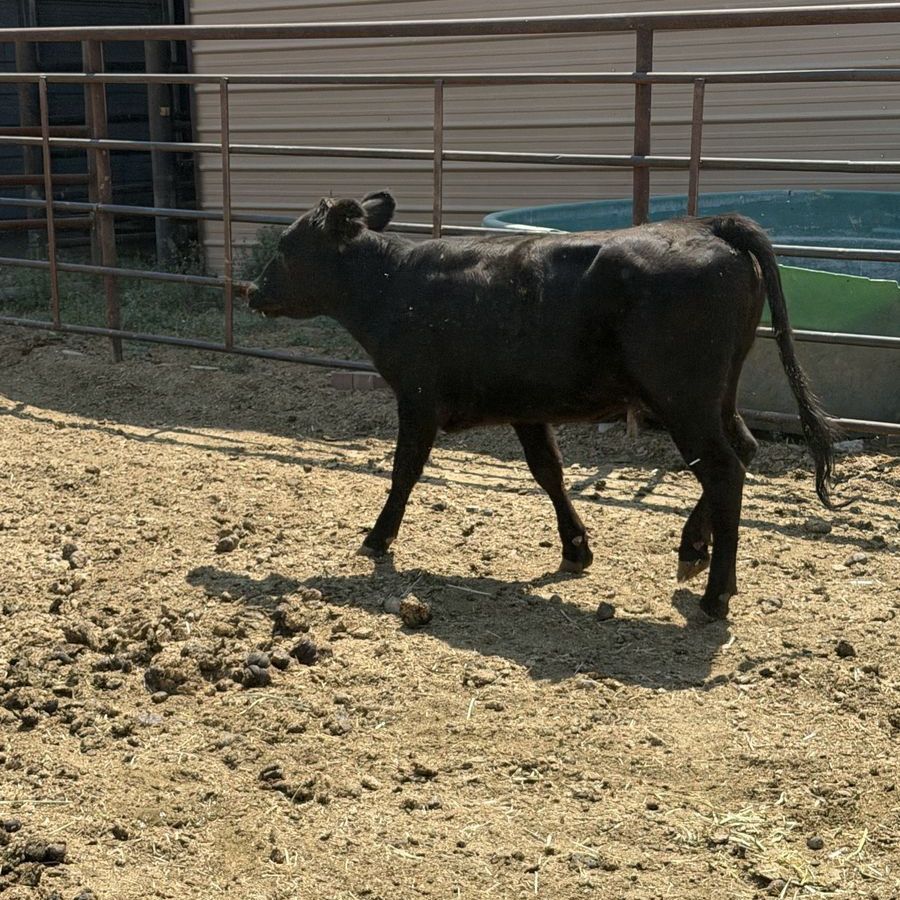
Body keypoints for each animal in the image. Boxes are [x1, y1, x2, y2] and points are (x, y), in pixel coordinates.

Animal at [247, 190, 837, 619]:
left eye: (285, 248)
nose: (251, 291)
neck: (392, 285)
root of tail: (708, 224)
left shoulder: (417, 397)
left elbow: (404, 470)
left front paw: (377, 537)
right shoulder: (525, 406)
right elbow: (547, 470)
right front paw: (576, 547)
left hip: (682, 397)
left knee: (722, 469)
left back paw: (716, 594)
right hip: (718, 394)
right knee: (742, 448)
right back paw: (693, 547)